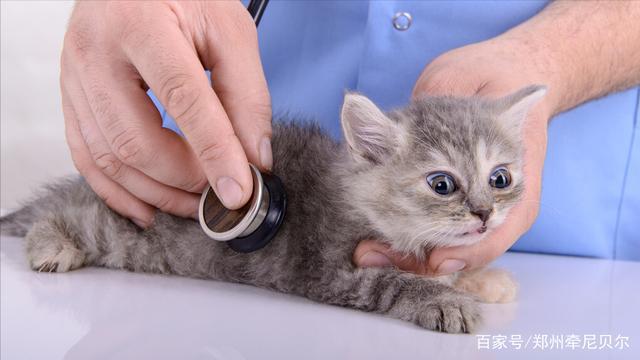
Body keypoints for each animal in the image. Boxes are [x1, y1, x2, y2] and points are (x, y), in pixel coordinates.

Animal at [0, 86, 544, 334]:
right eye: (442, 184)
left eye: (500, 179)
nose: (484, 215)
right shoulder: (328, 271)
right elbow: (392, 282)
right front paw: (444, 300)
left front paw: (481, 278)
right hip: (118, 223)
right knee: (63, 214)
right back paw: (50, 245)